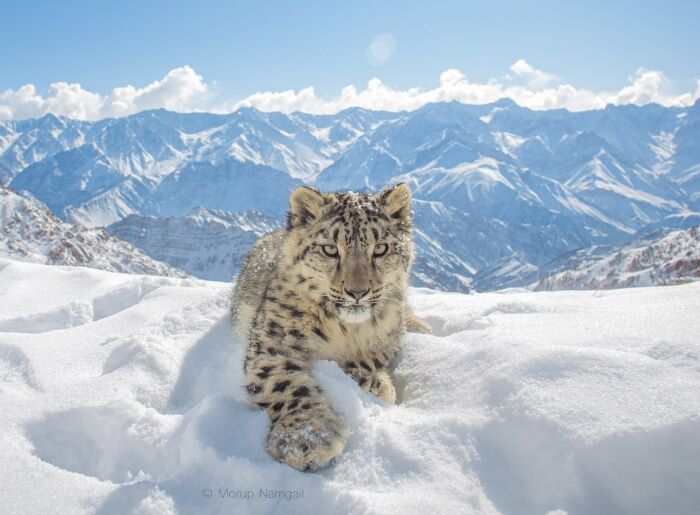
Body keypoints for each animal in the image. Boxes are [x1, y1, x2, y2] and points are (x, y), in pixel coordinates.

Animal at [230, 183, 431, 471]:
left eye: (381, 248)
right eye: (330, 249)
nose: (357, 292)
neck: (346, 329)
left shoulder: (388, 339)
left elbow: (365, 359)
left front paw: (374, 382)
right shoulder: (272, 344)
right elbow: (286, 384)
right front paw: (305, 440)